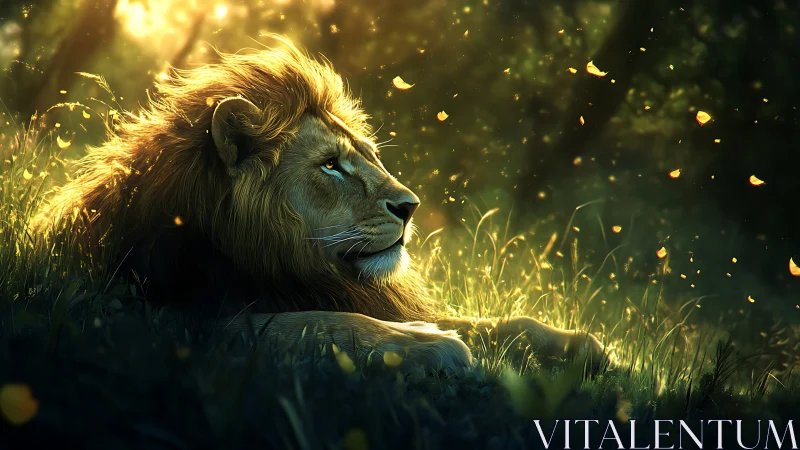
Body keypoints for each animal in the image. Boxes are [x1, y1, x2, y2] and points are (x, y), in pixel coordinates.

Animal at [33, 36, 607, 373]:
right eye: (331, 165)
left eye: (368, 155)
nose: (410, 207)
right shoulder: (173, 322)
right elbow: (320, 323)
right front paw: (430, 343)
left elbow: (491, 322)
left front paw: (585, 346)